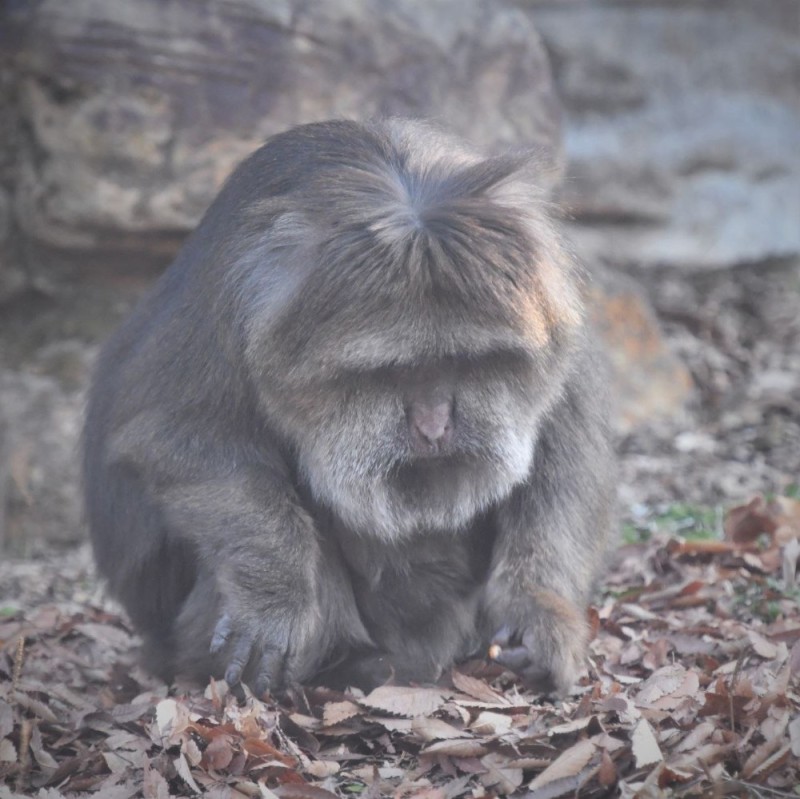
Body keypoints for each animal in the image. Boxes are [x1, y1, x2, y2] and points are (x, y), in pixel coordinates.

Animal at [83, 119, 612, 700]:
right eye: (391, 371)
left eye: (463, 361)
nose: (433, 426)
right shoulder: (234, 299)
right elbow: (175, 441)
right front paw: (275, 589)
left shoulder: (554, 308)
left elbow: (567, 457)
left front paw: (536, 611)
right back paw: (350, 662)